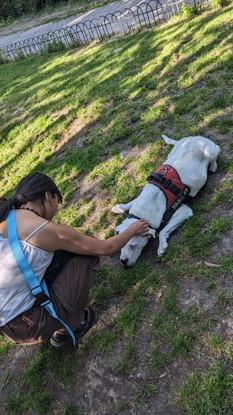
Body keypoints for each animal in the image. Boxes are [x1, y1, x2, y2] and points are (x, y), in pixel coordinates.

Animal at [112, 136, 221, 266]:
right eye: (120, 246)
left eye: (133, 246)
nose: (123, 261)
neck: (141, 213)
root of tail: (198, 137)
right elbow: (129, 204)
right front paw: (119, 207)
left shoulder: (184, 211)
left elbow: (163, 230)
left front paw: (162, 246)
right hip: (172, 152)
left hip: (210, 152)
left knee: (217, 153)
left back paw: (213, 166)